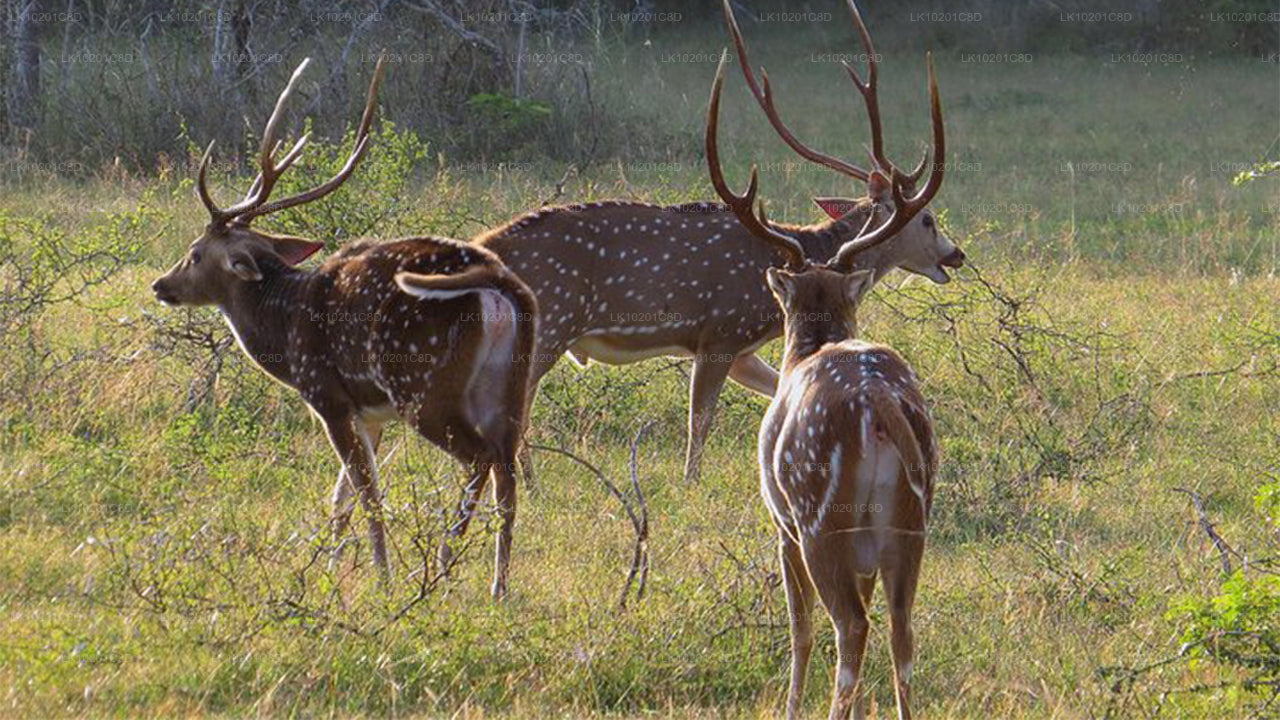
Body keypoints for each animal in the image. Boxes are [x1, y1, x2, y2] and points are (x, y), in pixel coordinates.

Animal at [152, 56, 537, 597]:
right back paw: (496, 586)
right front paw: (332, 568)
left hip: (423, 384)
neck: (284, 328)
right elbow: (342, 497)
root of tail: (500, 286)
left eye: (194, 253)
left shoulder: (328, 396)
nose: (160, 285)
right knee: (508, 471)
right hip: (510, 385)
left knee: (479, 459)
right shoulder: (369, 412)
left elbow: (366, 491)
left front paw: (380, 577)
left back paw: (441, 565)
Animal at [478, 0, 962, 484]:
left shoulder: (744, 349)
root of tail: (487, 247)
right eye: (928, 220)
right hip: (551, 322)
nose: (956, 254)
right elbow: (701, 421)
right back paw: (526, 483)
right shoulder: (721, 331)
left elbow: (777, 390)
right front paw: (690, 482)